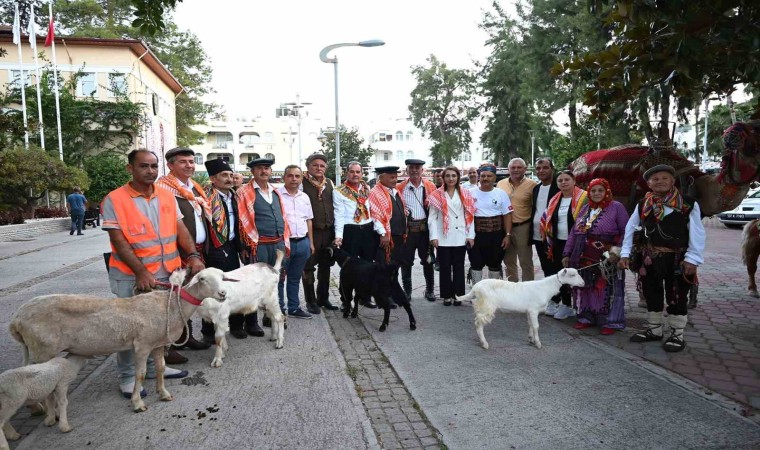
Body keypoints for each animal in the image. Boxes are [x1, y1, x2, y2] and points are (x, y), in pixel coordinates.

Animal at [8, 268, 227, 414]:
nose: (223, 293)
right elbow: (140, 374)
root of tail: (16, 320)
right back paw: (42, 410)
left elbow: (160, 368)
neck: (172, 304)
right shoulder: (142, 344)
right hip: (42, 350)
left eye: (222, 277)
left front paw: (164, 393)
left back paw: (36, 409)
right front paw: (137, 403)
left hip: (34, 350)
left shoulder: (157, 343)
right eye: (203, 279)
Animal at [454, 268, 584, 350]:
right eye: (572, 275)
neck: (546, 287)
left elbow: (530, 324)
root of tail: (475, 288)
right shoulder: (534, 309)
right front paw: (538, 343)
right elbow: (536, 326)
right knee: (478, 323)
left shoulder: (529, 311)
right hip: (487, 306)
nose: (583, 283)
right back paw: (484, 343)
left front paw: (531, 339)